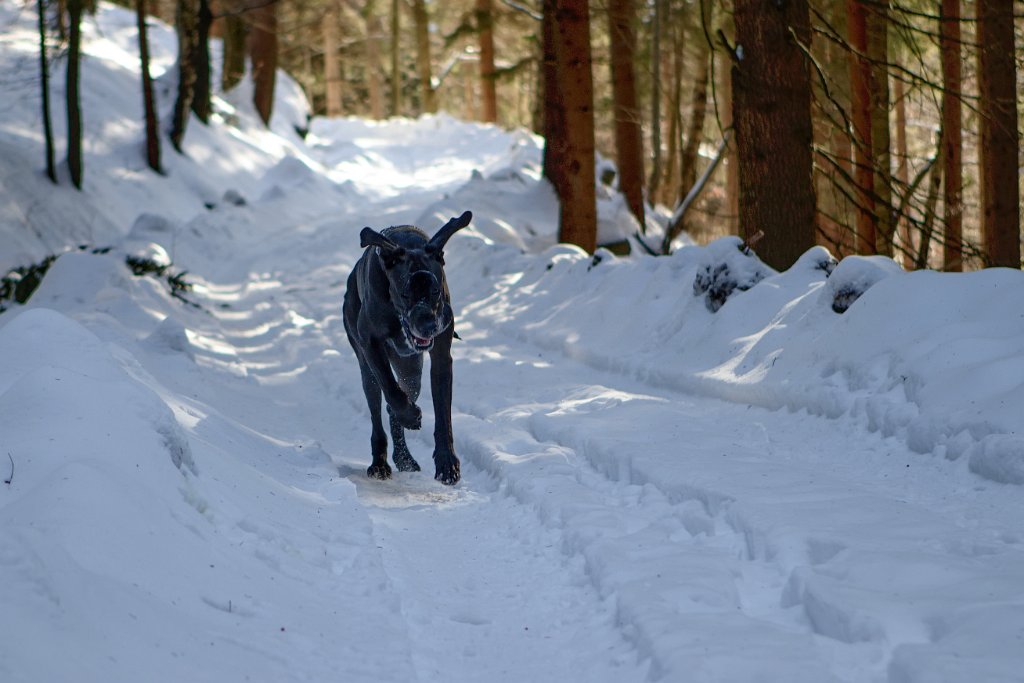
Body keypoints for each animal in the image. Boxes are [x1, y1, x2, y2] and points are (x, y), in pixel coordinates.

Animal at [342, 210, 473, 483]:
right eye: (405, 293)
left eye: (435, 291)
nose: (429, 326)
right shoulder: (370, 344)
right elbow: (391, 389)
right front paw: (411, 416)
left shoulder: (441, 354)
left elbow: (443, 413)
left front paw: (447, 463)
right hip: (366, 366)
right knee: (378, 406)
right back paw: (380, 462)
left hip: (411, 370)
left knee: (401, 399)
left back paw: (404, 458)